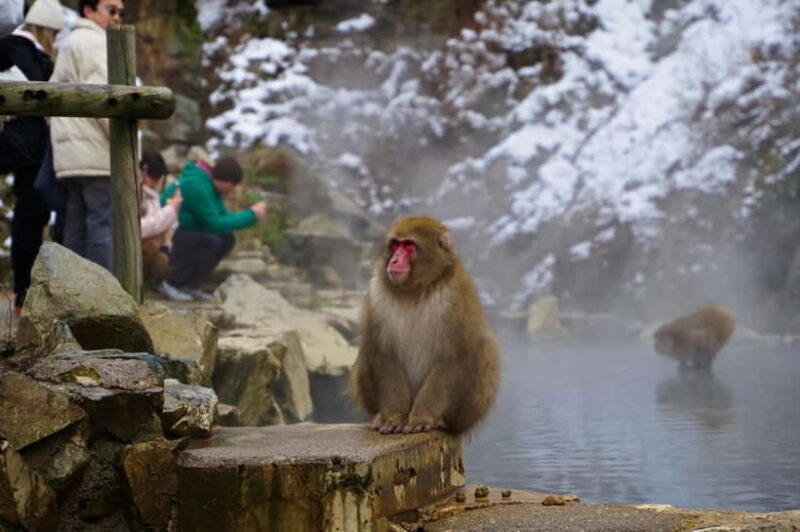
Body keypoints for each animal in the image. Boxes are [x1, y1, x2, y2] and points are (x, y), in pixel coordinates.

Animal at [352, 216, 500, 435]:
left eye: (409, 245)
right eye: (396, 244)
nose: (394, 260)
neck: (415, 290)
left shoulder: (456, 298)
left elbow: (455, 358)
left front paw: (422, 418)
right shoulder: (377, 296)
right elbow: (384, 354)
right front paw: (393, 418)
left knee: (486, 350)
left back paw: (442, 421)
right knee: (367, 348)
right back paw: (380, 416)